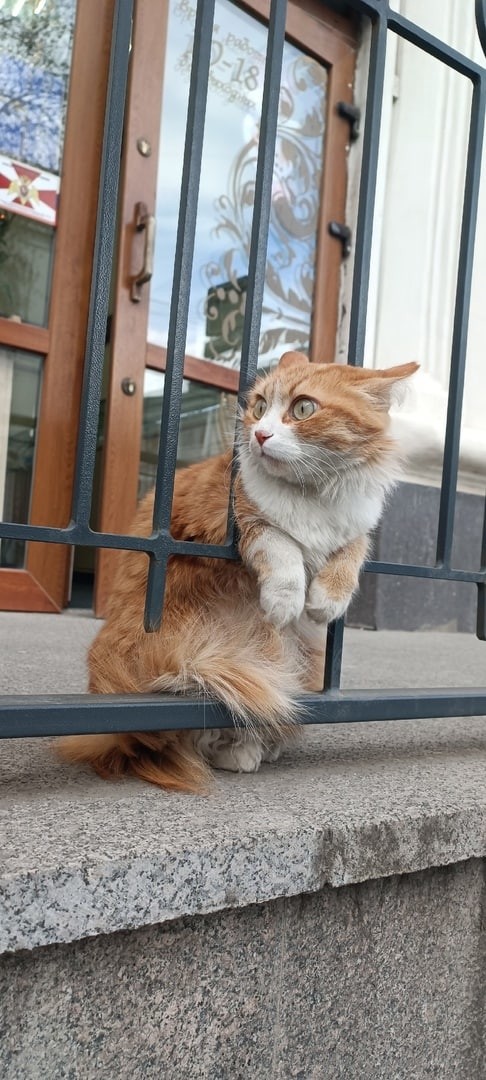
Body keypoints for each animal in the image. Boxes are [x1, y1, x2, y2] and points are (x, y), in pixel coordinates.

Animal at [58, 351, 418, 792]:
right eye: (260, 407)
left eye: (303, 408)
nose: (260, 435)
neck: (313, 496)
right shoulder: (240, 519)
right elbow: (282, 549)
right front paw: (287, 601)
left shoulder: (358, 527)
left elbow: (352, 553)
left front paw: (326, 601)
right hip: (215, 659)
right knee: (207, 728)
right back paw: (240, 752)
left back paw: (260, 747)